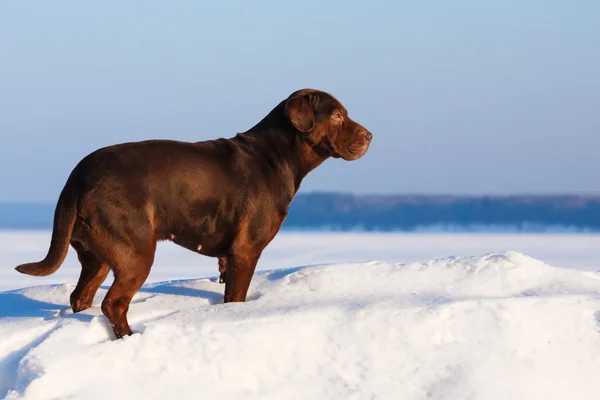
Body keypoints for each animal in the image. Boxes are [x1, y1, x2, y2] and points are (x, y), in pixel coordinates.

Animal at [14, 88, 372, 338]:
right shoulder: (246, 251)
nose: (369, 135)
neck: (278, 156)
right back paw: (131, 338)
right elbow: (237, 298)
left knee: (81, 295)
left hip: (97, 255)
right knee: (113, 303)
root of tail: (78, 175)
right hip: (136, 250)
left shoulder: (229, 256)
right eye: (336, 115)